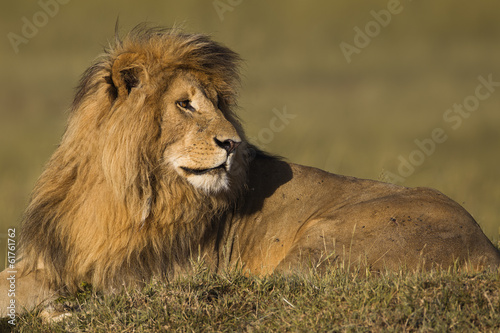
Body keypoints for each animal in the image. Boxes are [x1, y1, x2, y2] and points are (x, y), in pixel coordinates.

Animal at [0, 26, 500, 316]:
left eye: (219, 104)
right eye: (185, 104)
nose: (233, 143)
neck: (118, 190)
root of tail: (487, 246)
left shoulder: (138, 273)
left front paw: (50, 306)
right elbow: (15, 277)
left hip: (324, 235)